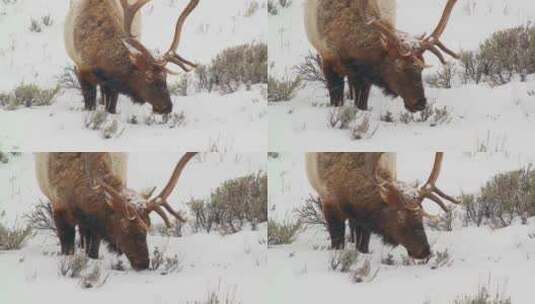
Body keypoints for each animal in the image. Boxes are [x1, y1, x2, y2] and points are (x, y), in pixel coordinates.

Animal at [36, 151, 199, 268]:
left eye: (148, 227)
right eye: (125, 228)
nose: (143, 264)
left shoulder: (95, 222)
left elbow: (93, 250)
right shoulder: (59, 208)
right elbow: (67, 248)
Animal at [65, 0, 199, 114]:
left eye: (165, 76)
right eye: (148, 77)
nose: (167, 107)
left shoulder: (112, 84)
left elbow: (111, 108)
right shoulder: (81, 70)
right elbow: (89, 105)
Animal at [306, 0, 460, 111]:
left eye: (421, 68)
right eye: (398, 67)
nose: (420, 103)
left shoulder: (363, 75)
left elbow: (361, 103)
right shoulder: (328, 60)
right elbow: (336, 99)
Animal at [308, 152, 458, 258]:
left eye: (421, 216)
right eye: (399, 217)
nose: (425, 251)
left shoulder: (364, 218)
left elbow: (363, 244)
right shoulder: (329, 202)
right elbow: (337, 243)